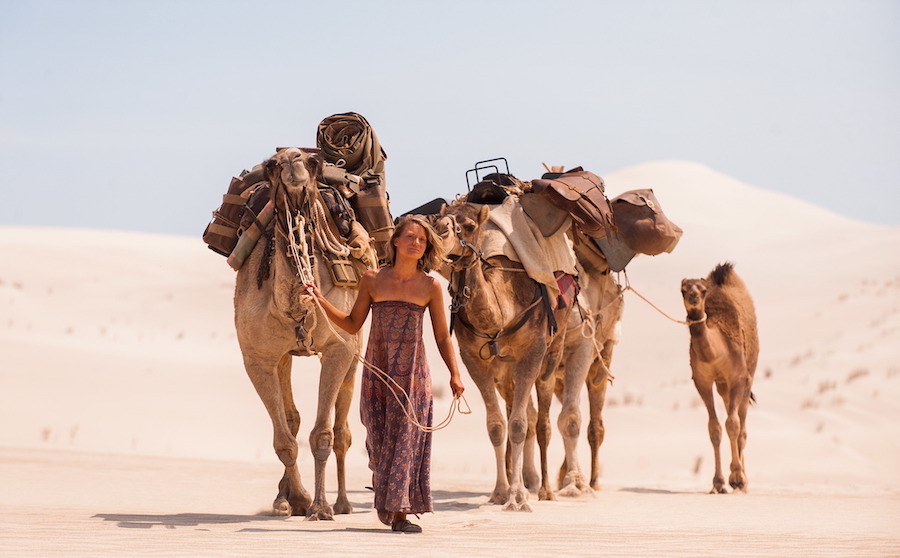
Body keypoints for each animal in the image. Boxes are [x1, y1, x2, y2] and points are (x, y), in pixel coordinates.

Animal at [233, 147, 367, 519]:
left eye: (313, 162)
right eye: (272, 165)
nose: (293, 159)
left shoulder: (339, 348)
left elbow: (323, 434)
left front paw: (321, 507)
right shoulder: (258, 358)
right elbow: (284, 440)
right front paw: (300, 499)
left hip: (356, 348)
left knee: (343, 430)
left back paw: (343, 503)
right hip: (285, 357)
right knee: (292, 419)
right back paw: (284, 498)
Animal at [433, 200, 571, 511]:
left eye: (469, 226)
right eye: (437, 220)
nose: (440, 230)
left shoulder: (532, 352)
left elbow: (519, 425)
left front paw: (517, 497)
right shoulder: (474, 360)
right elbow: (497, 426)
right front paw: (499, 492)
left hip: (552, 352)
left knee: (541, 421)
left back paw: (545, 490)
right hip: (505, 371)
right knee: (521, 412)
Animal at [681, 261, 759, 493]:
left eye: (702, 290)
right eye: (683, 290)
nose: (693, 297)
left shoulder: (738, 378)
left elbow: (732, 425)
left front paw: (737, 478)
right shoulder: (702, 381)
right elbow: (714, 428)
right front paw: (718, 483)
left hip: (748, 376)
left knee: (741, 427)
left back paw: (744, 481)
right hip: (723, 386)